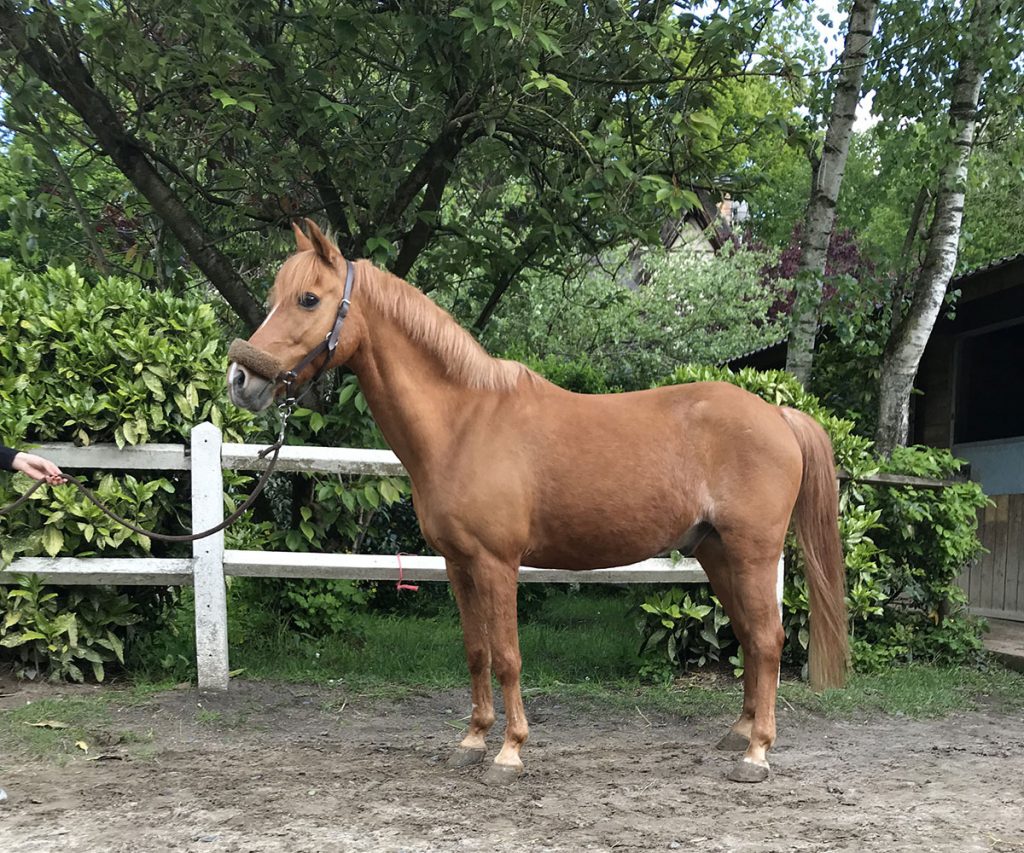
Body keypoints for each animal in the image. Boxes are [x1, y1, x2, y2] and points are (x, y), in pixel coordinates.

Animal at [230, 221, 847, 786]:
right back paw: (739, 733)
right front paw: (472, 741)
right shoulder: (458, 564)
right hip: (716, 554)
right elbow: (476, 651)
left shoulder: (497, 563)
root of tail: (778, 415)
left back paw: (757, 753)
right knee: (748, 638)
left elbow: (507, 656)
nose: (241, 379)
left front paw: (509, 752)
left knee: (766, 639)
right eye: (276, 296)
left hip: (752, 553)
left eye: (309, 299)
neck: (464, 422)